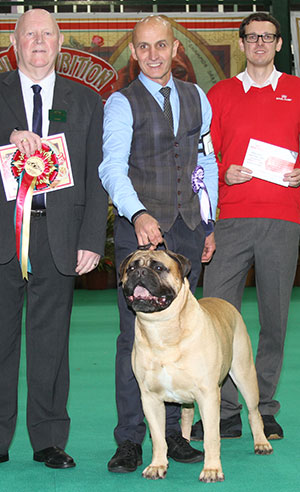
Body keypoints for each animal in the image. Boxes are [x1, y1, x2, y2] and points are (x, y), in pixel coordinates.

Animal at [119, 250, 272, 480]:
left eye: (158, 268)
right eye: (130, 268)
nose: (140, 272)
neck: (161, 329)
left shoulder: (207, 395)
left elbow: (211, 437)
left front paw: (212, 470)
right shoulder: (150, 398)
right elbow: (158, 437)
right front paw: (157, 465)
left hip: (245, 376)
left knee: (254, 413)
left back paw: (262, 443)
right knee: (186, 416)